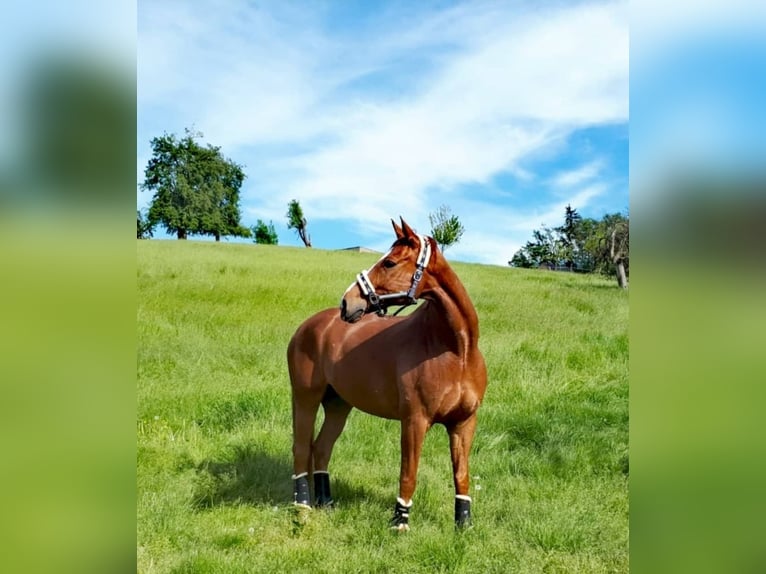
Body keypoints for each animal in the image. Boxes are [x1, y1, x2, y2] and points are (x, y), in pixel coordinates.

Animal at [284, 217, 488, 532]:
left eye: (390, 262)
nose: (347, 302)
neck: (457, 351)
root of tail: (308, 326)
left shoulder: (464, 423)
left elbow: (461, 475)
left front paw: (463, 525)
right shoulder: (415, 420)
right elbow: (409, 473)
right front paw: (399, 523)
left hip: (338, 405)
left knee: (321, 448)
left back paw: (325, 501)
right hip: (305, 398)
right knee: (301, 448)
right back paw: (303, 507)